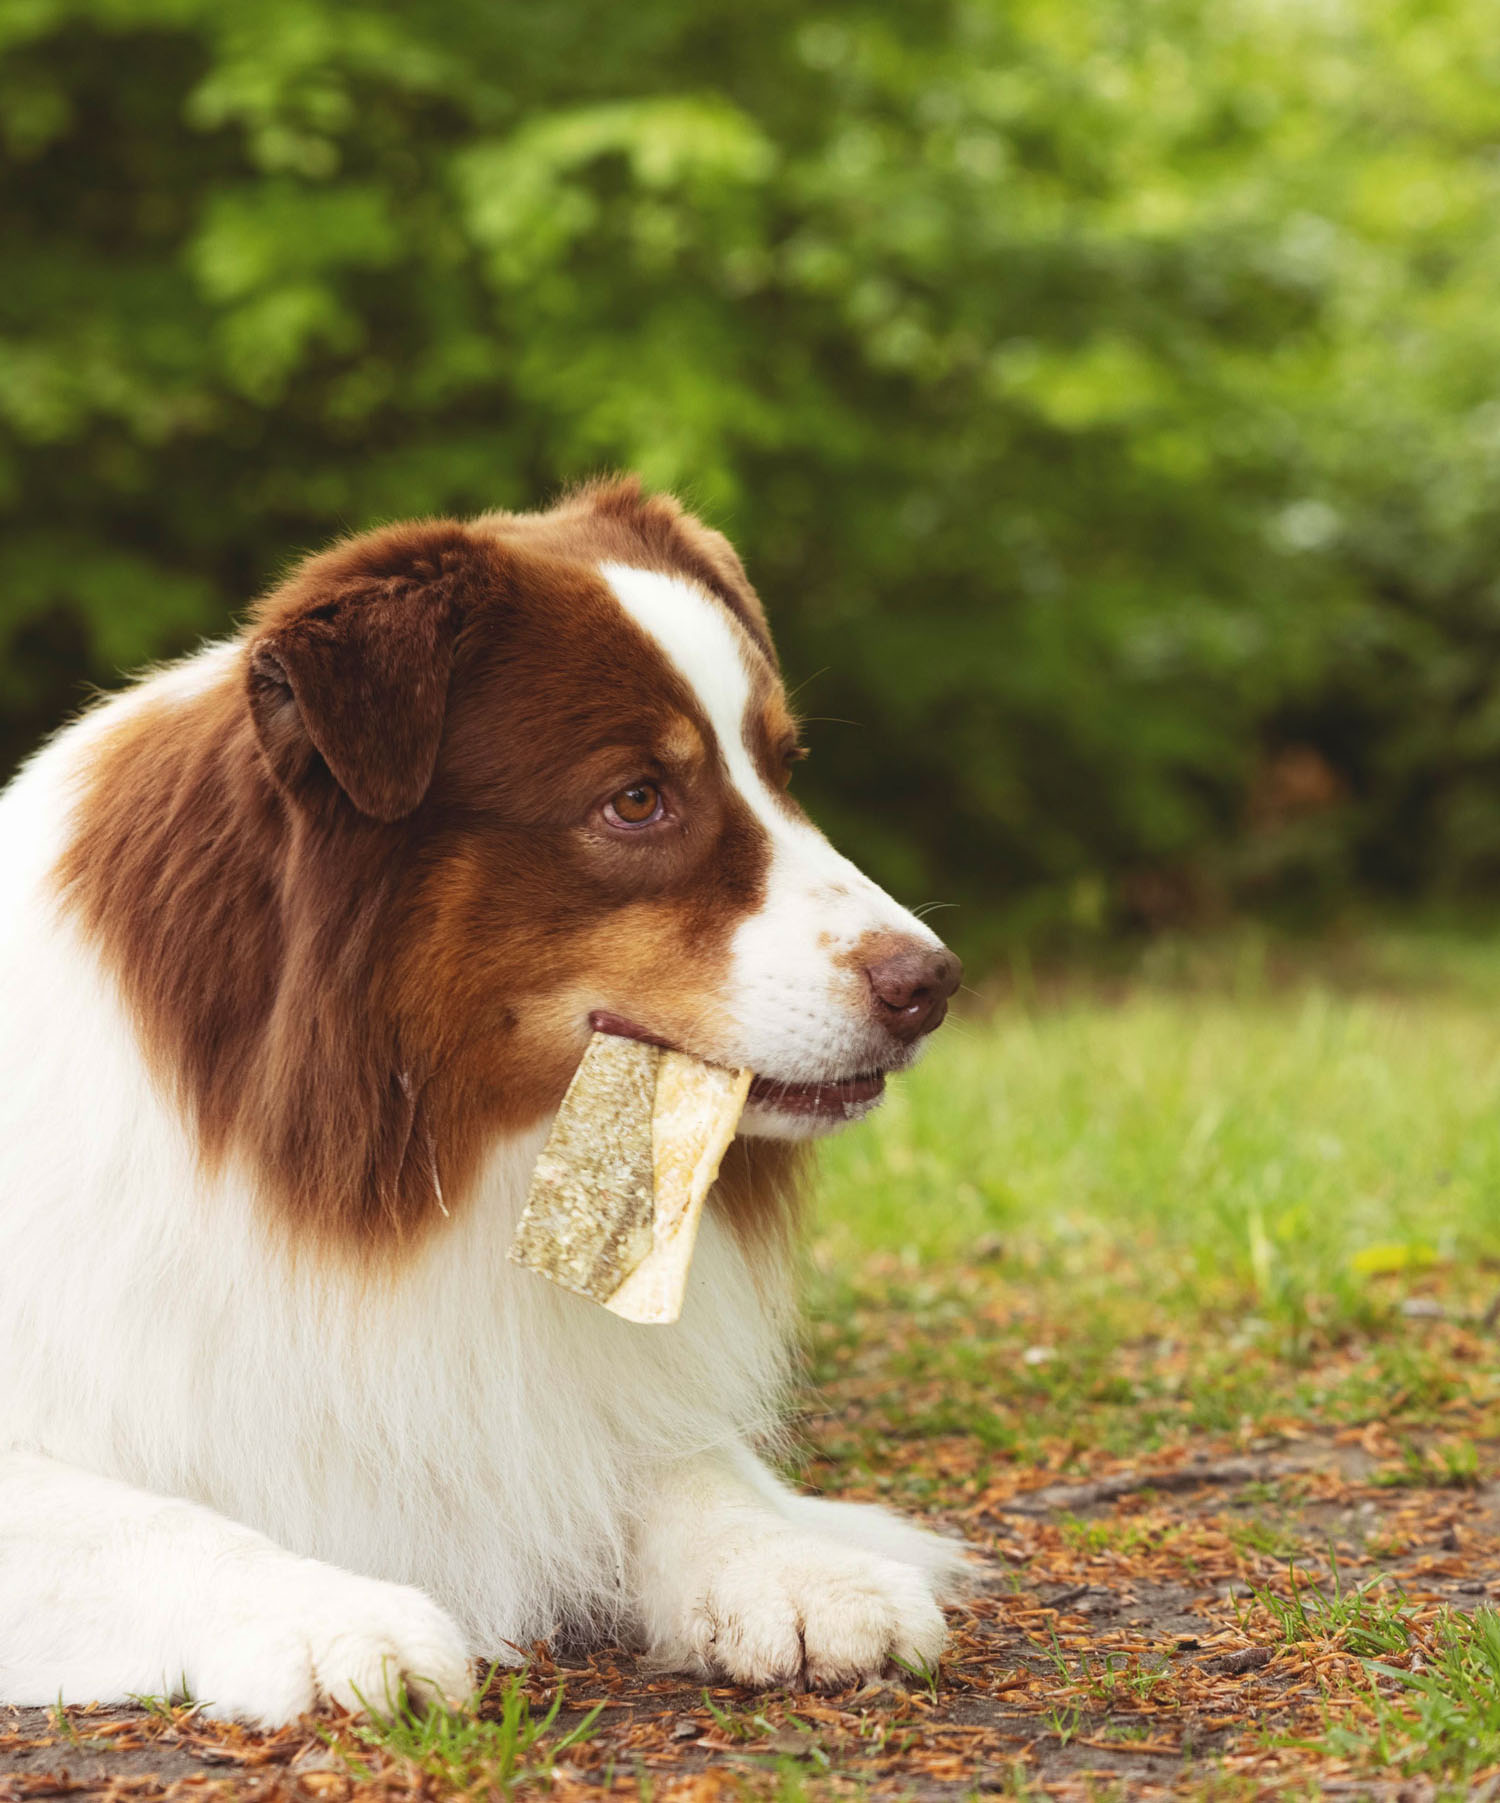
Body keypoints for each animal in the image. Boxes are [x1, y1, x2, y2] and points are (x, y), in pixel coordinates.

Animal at [0, 475, 959, 1716]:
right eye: (636, 799)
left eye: (784, 769)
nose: (931, 984)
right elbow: (162, 1526)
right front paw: (341, 1619)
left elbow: (679, 1458)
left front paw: (802, 1566)